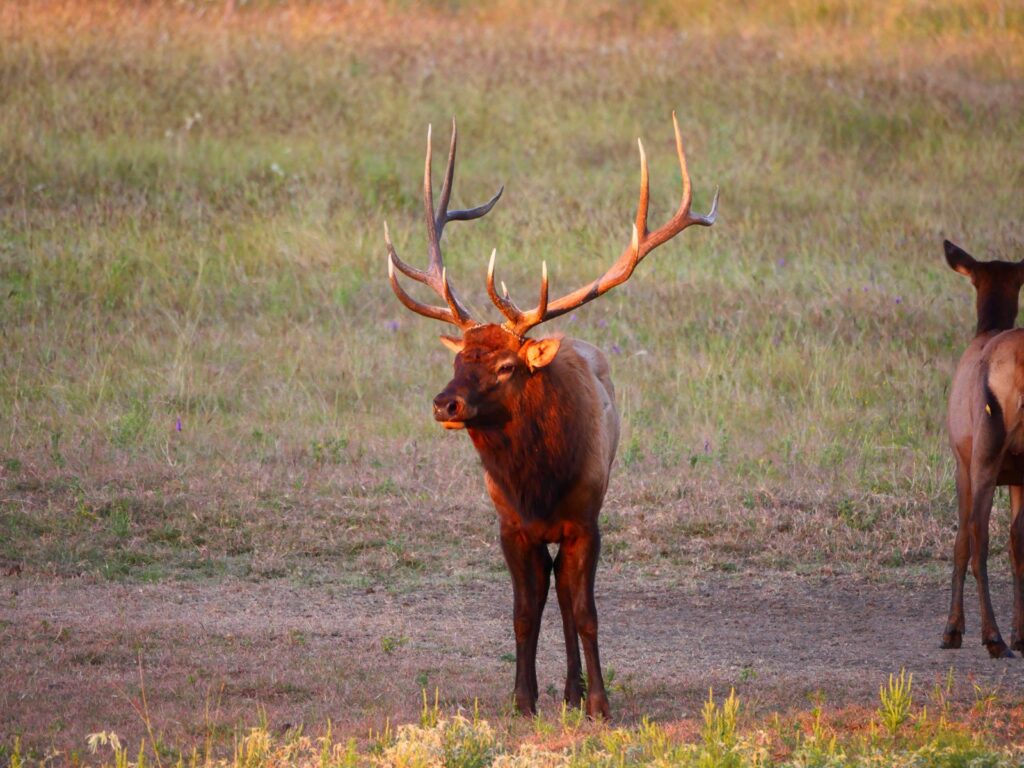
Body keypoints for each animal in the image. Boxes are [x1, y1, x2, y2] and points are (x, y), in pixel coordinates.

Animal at [385, 117, 720, 720]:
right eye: (457, 360)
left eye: (506, 365)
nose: (445, 404)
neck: (537, 484)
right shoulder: (510, 524)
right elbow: (524, 611)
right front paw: (523, 699)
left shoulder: (586, 518)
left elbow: (583, 610)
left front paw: (600, 704)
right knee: (550, 593)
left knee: (566, 596)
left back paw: (576, 691)